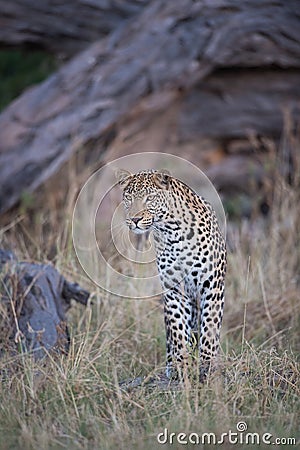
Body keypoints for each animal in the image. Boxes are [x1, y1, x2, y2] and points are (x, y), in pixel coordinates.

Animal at [116, 169, 226, 380]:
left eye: (150, 198)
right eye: (128, 198)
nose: (134, 219)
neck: (172, 232)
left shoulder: (211, 283)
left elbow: (210, 325)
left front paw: (208, 365)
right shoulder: (173, 288)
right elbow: (178, 329)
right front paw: (181, 365)